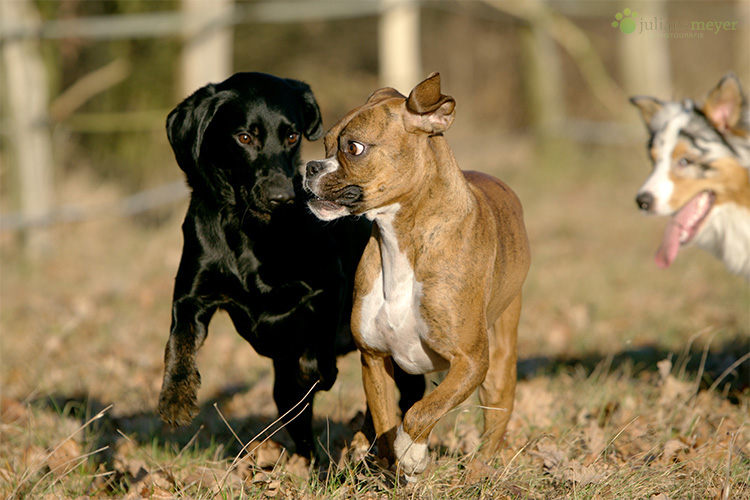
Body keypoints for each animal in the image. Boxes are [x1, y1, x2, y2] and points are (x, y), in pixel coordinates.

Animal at [159, 72, 426, 458]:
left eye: (292, 135)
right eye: (244, 137)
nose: (282, 196)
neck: (250, 229)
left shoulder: (330, 284)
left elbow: (317, 349)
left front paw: (320, 373)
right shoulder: (192, 296)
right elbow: (178, 340)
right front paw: (175, 398)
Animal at [302, 73, 532, 476]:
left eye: (354, 148)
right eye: (326, 144)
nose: (310, 167)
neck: (401, 239)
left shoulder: (471, 362)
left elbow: (422, 412)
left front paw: (412, 451)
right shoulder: (374, 358)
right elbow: (385, 419)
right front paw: (389, 459)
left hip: (500, 366)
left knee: (494, 424)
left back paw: (478, 471)